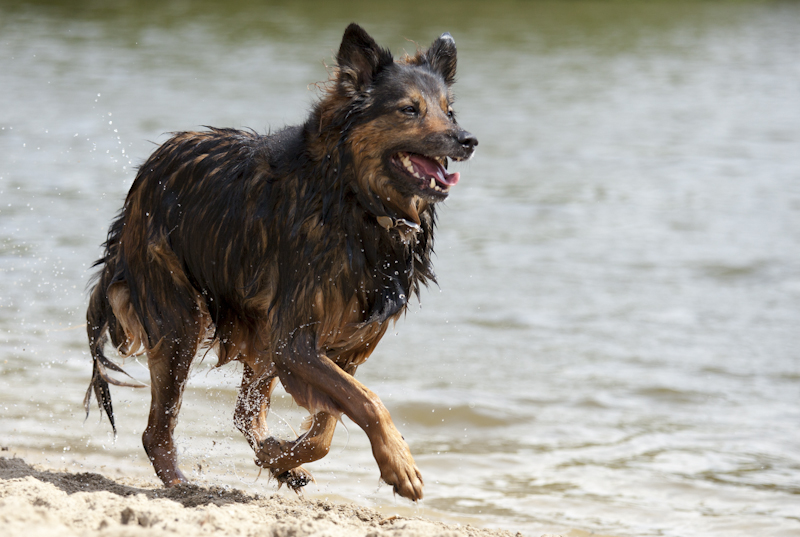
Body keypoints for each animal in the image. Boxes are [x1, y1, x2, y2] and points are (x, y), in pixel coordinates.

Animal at [85, 21, 478, 498]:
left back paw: (273, 461)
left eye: (449, 112)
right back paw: (180, 483)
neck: (354, 202)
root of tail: (146, 173)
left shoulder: (344, 344)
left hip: (257, 334)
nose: (468, 140)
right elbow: (367, 401)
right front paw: (400, 464)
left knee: (244, 412)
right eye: (409, 110)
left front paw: (280, 457)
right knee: (157, 431)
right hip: (181, 320)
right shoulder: (295, 339)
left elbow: (328, 425)